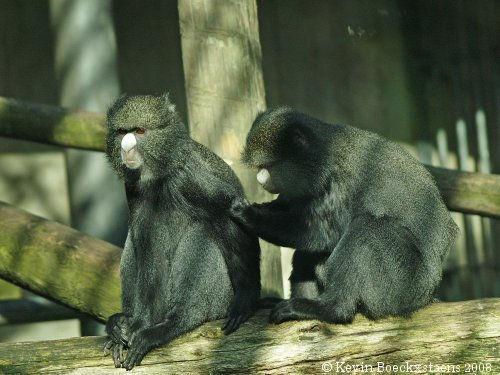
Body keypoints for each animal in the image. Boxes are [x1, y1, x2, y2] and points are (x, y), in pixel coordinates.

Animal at [100, 94, 260, 370]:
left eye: (140, 131)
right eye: (122, 132)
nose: (126, 147)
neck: (159, 174)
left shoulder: (191, 176)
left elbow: (232, 215)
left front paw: (247, 301)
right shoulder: (133, 188)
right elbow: (147, 244)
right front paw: (137, 324)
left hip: (219, 300)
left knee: (204, 229)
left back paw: (177, 321)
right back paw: (125, 322)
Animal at [229, 106, 458, 326]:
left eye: (267, 166)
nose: (260, 180)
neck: (323, 157)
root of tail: (428, 294)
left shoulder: (341, 183)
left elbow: (323, 235)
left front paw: (249, 215)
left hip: (403, 286)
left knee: (367, 229)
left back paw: (332, 308)